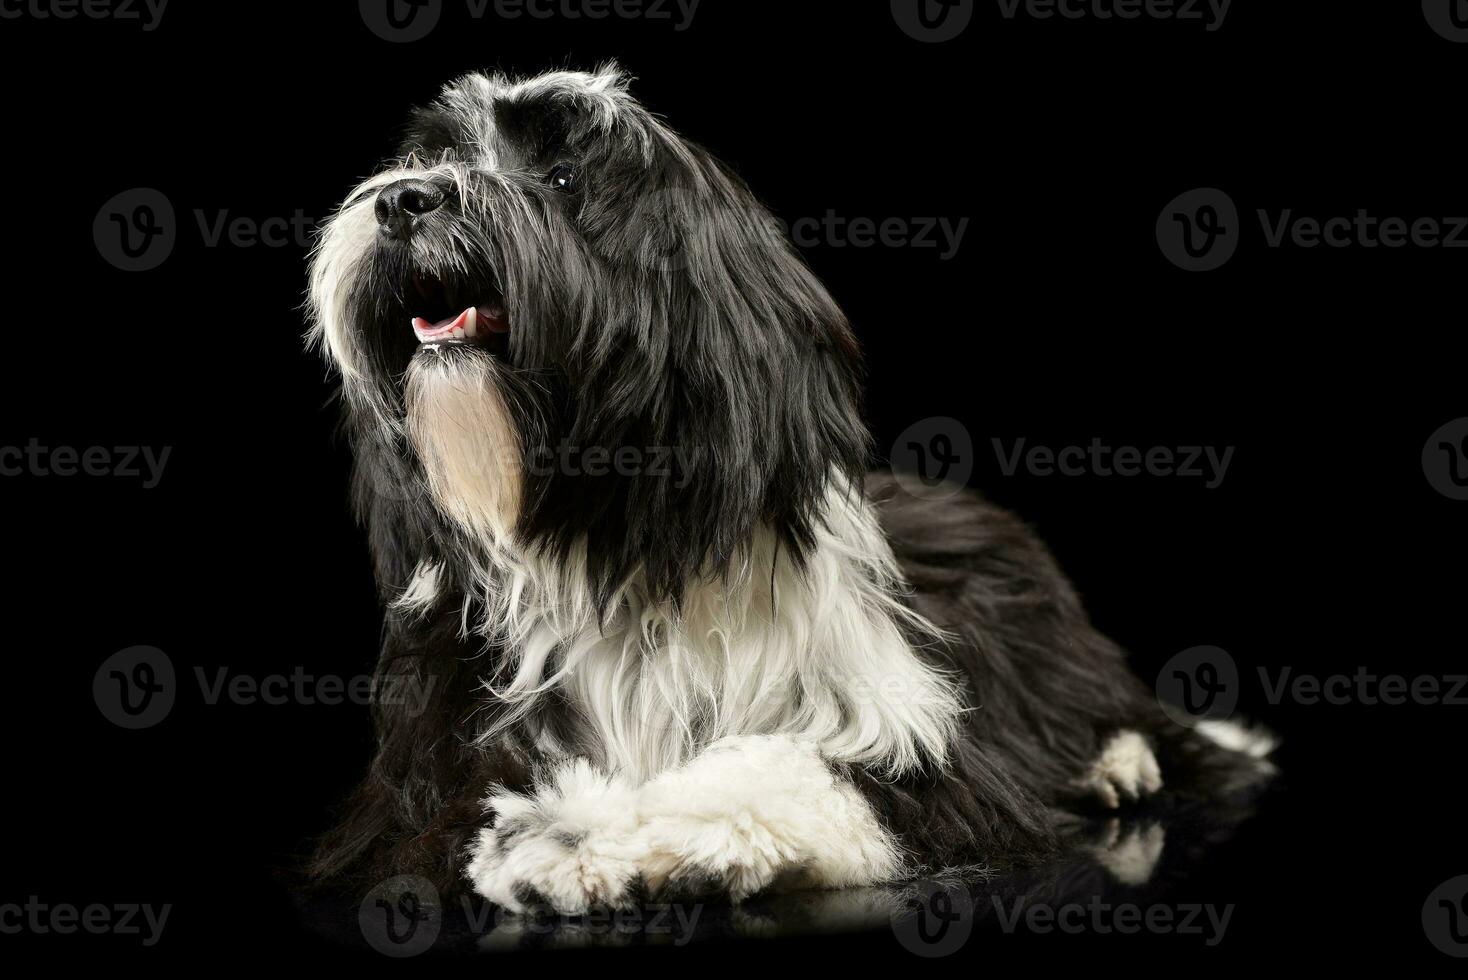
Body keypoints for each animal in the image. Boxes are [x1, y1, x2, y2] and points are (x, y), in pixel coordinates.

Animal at [303, 64, 1268, 915]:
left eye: (563, 177)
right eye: (432, 156)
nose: (402, 200)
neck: (609, 553)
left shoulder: (933, 761)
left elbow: (799, 771)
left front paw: (613, 833)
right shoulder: (425, 784)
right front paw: (568, 830)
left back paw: (1120, 762)